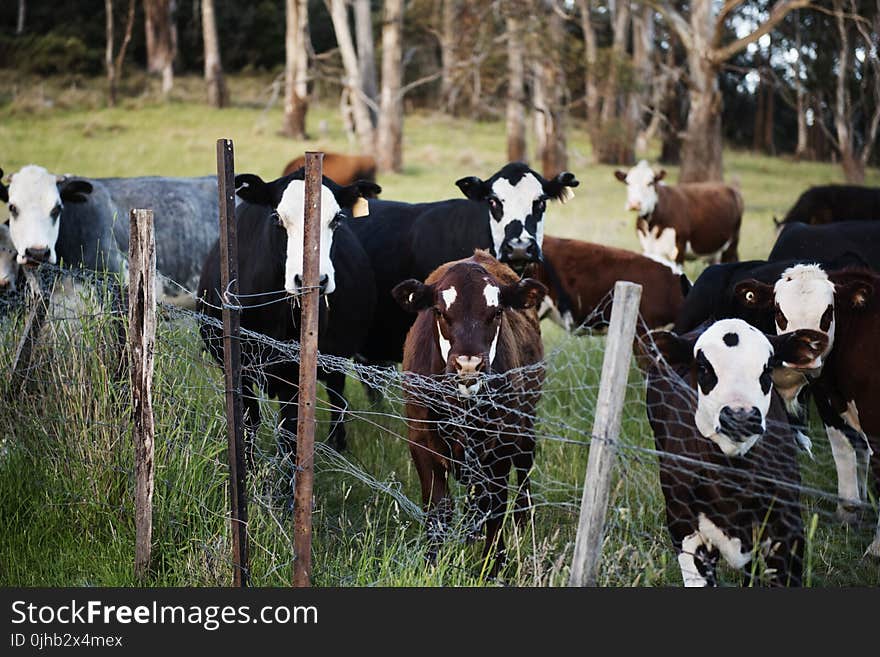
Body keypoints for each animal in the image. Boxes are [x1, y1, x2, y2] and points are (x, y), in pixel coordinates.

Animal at [198, 167, 380, 458]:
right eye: (277, 218)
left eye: (337, 219)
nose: (312, 281)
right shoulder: (233, 365)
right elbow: (249, 420)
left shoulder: (294, 374)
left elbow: (289, 430)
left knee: (337, 397)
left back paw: (337, 446)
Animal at [390, 249, 548, 572]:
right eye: (440, 311)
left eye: (496, 312)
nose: (468, 366)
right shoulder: (420, 439)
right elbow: (438, 508)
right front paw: (432, 562)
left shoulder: (501, 442)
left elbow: (495, 505)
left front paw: (494, 564)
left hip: (526, 421)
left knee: (524, 466)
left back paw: (522, 521)